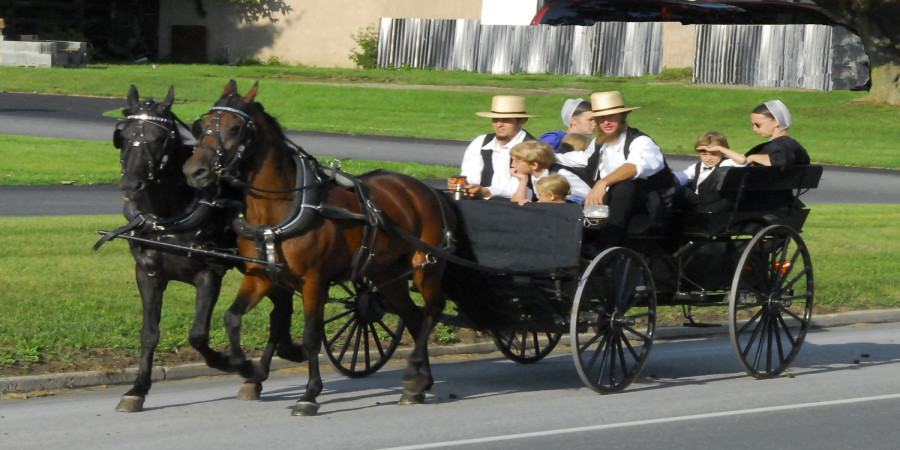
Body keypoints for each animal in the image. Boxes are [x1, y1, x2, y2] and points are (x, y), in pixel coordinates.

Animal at [103, 86, 304, 414]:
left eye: (159, 138)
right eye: (123, 134)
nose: (130, 184)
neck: (168, 216)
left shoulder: (209, 274)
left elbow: (197, 335)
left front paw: (228, 361)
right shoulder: (148, 274)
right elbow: (149, 334)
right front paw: (137, 389)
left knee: (281, 311)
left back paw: (260, 371)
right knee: (281, 310)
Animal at [181, 80, 458, 414]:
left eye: (235, 128)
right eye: (201, 127)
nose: (194, 172)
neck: (283, 208)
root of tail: (429, 190)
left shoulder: (314, 281)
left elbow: (312, 336)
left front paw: (309, 395)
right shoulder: (260, 277)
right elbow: (232, 318)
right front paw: (245, 367)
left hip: (426, 266)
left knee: (431, 312)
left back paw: (416, 371)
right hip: (386, 274)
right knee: (415, 318)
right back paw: (418, 384)